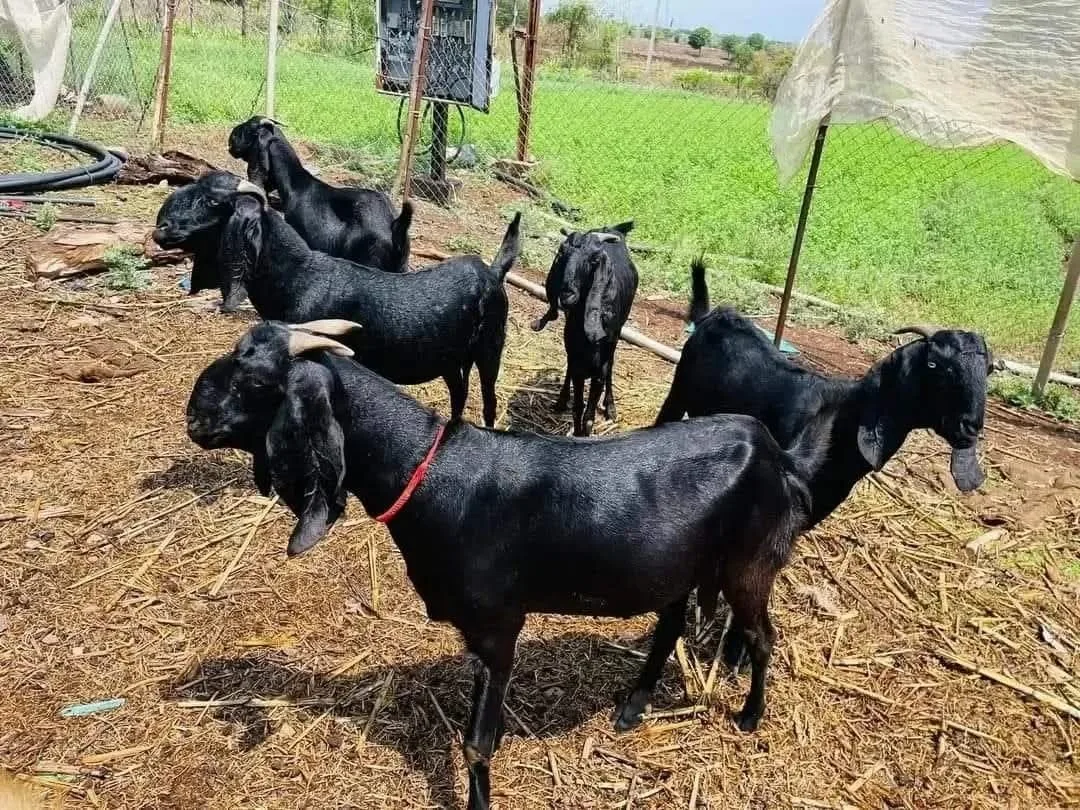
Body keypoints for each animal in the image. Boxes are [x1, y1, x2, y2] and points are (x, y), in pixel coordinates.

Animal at [153, 172, 520, 426]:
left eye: (213, 202)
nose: (161, 229)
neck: (300, 278)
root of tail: (492, 271)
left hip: (491, 348)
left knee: (488, 401)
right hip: (450, 360)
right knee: (459, 394)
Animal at [186, 319, 824, 810]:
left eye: (256, 380)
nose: (193, 414)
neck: (432, 474)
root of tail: (776, 456)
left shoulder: (498, 624)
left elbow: (477, 744)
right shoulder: (477, 632)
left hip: (749, 565)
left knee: (762, 636)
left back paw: (749, 717)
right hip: (683, 567)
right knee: (670, 625)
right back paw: (633, 706)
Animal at [531, 222, 638, 436]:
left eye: (594, 259)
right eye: (561, 252)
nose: (567, 294)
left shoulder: (599, 370)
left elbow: (589, 416)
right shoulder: (577, 365)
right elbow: (578, 408)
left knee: (611, 364)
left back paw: (611, 407)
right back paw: (562, 400)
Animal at [658, 259, 991, 661]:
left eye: (988, 370)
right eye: (934, 365)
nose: (970, 426)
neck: (842, 422)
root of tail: (714, 316)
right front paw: (737, 649)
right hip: (677, 393)